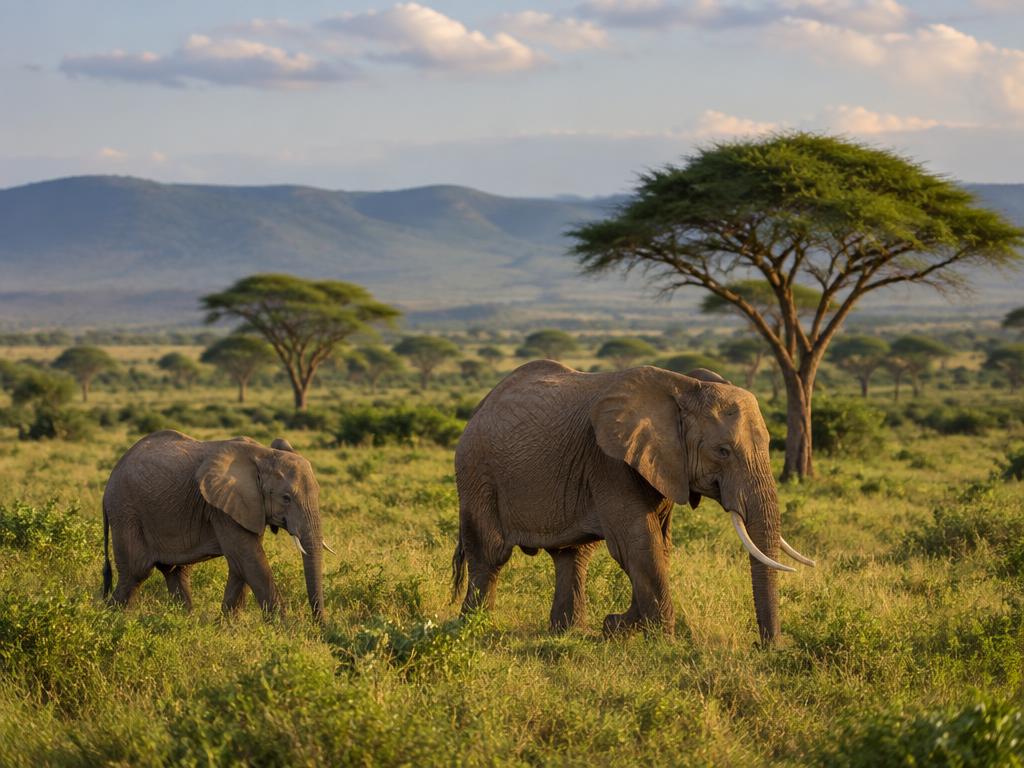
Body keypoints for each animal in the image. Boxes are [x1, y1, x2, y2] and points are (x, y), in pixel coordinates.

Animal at [102, 430, 328, 621]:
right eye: (286, 498)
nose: (319, 626)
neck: (264, 454)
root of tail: (109, 481)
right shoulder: (222, 509)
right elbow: (249, 560)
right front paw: (285, 629)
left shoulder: (248, 507)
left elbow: (240, 564)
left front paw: (227, 627)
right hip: (126, 511)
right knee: (136, 571)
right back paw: (110, 619)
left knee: (176, 572)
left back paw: (185, 622)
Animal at [451, 360, 814, 643]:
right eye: (723, 451)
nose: (765, 646)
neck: (684, 387)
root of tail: (481, 405)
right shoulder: (610, 463)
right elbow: (638, 543)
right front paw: (661, 642)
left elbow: (659, 547)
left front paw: (617, 626)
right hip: (476, 471)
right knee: (490, 552)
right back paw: (474, 628)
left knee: (573, 555)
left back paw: (569, 633)